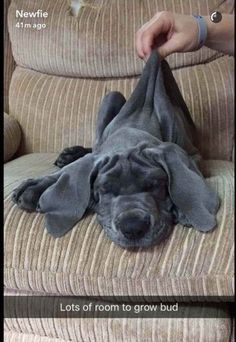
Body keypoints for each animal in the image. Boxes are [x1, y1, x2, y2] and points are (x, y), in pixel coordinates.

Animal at [12, 51, 219, 248]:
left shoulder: (194, 154)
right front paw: (34, 187)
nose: (133, 227)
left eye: (156, 185)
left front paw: (183, 208)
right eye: (104, 190)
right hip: (111, 96)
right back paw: (70, 155)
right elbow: (69, 170)